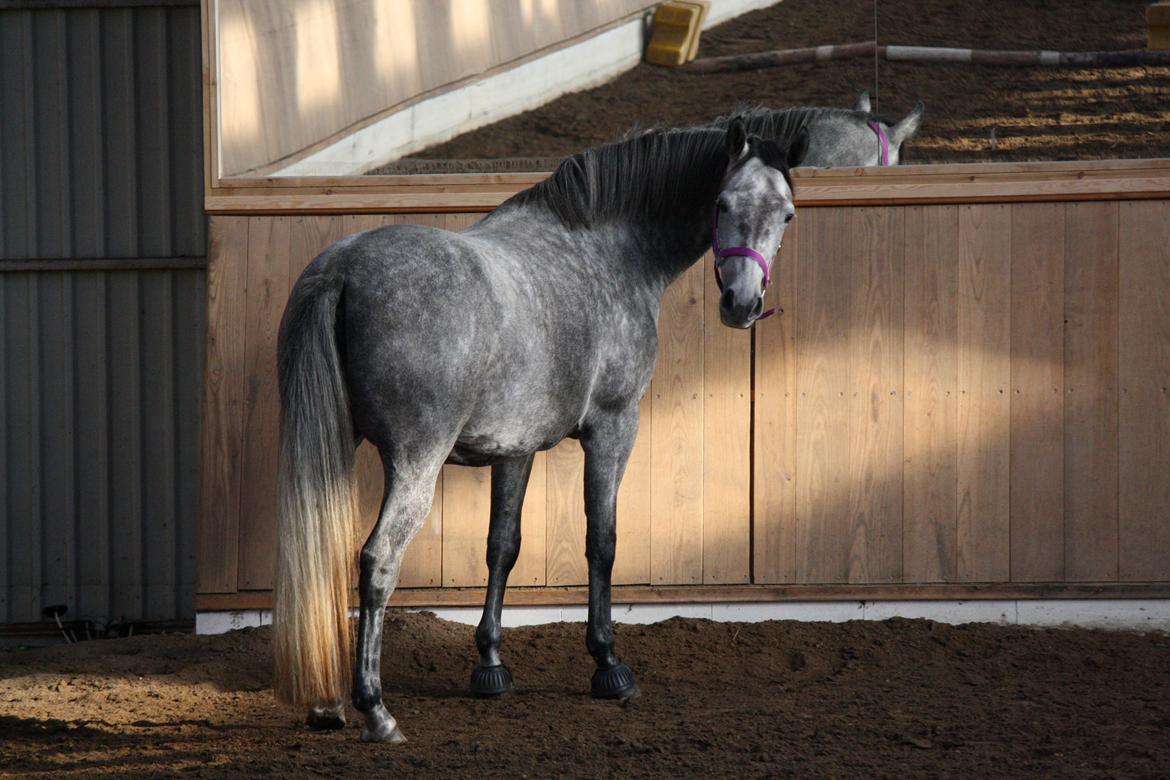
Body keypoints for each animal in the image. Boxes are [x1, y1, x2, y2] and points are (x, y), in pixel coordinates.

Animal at [271, 117, 804, 743]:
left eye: (786, 214)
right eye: (722, 203)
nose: (741, 304)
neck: (607, 251)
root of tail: (343, 268)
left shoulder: (514, 449)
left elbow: (502, 545)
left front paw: (490, 666)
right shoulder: (614, 427)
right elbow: (602, 541)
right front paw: (608, 664)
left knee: (318, 555)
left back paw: (327, 704)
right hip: (415, 460)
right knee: (377, 561)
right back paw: (375, 709)